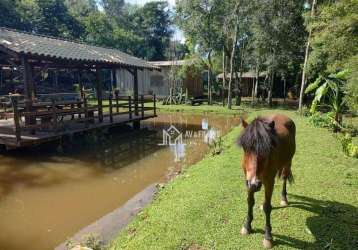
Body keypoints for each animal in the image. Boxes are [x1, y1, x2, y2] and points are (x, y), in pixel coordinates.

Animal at [238, 114, 296, 249]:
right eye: (245, 147)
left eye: (267, 148)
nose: (254, 184)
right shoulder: (247, 180)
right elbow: (250, 202)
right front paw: (247, 226)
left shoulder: (269, 181)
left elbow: (267, 207)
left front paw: (268, 237)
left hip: (288, 162)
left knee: (284, 178)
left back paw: (284, 199)